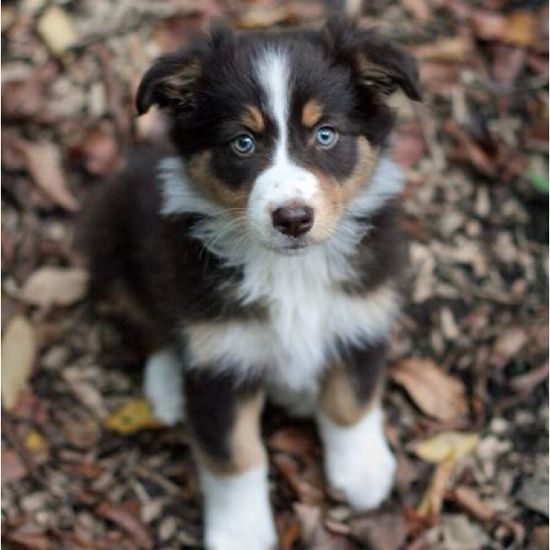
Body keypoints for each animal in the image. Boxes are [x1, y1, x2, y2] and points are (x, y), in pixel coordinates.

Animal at [82, 16, 422, 550]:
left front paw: (363, 472)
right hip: (113, 245)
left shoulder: (362, 311)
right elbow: (234, 457)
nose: (293, 219)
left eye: (326, 134)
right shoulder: (222, 359)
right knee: (150, 323)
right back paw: (168, 386)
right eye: (243, 142)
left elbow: (350, 401)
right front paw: (242, 531)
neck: (291, 270)